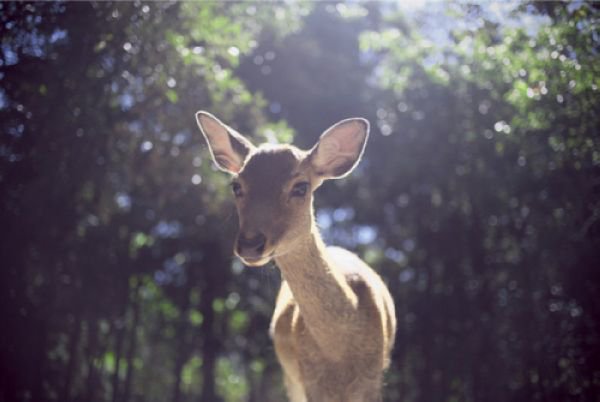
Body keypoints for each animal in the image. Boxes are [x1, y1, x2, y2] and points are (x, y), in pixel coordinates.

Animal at [195, 110, 396, 402]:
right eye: (236, 186)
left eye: (301, 187)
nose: (250, 244)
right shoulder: (309, 380)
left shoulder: (372, 380)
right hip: (291, 379)